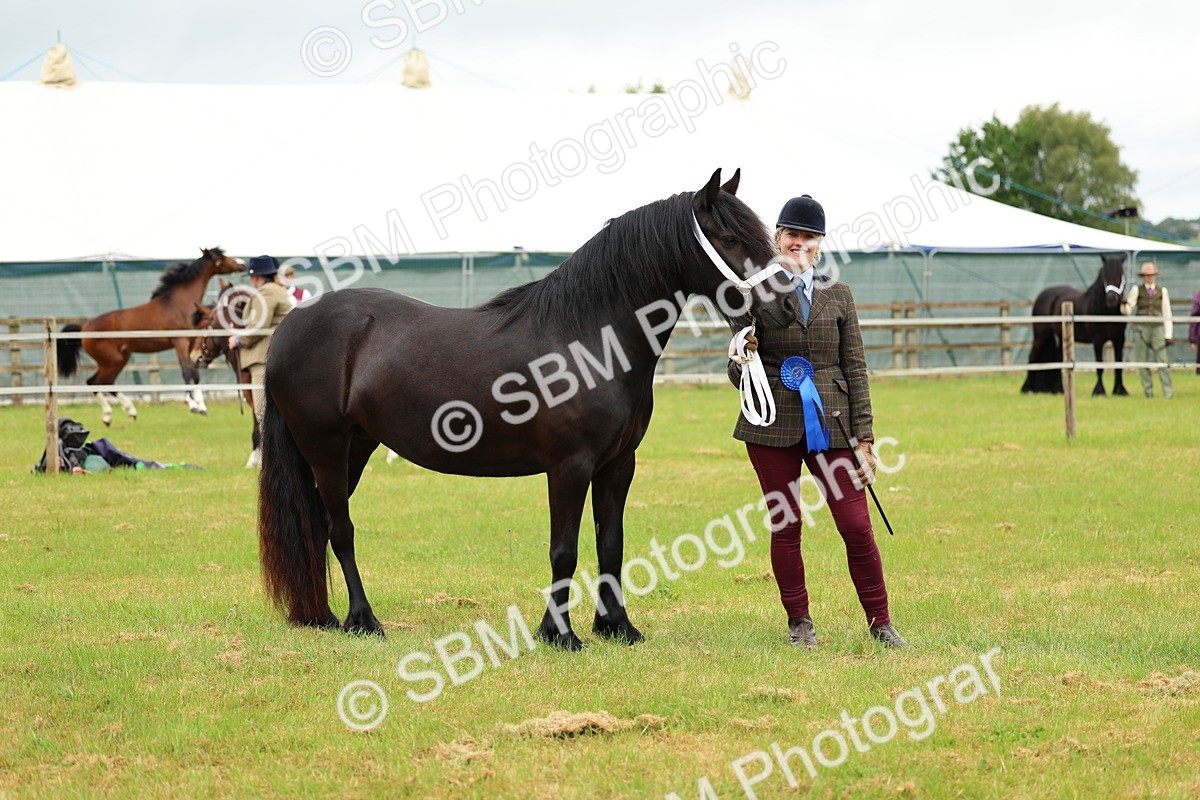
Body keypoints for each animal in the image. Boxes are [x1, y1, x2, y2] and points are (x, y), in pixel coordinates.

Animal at [57, 248, 245, 424]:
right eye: (220, 258)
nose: (242, 263)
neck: (179, 304)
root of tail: (85, 326)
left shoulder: (191, 344)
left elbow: (194, 373)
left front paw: (201, 406)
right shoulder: (181, 343)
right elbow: (187, 372)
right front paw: (193, 405)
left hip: (120, 359)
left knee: (104, 383)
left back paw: (126, 412)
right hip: (111, 361)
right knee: (95, 382)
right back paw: (112, 414)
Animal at [257, 168, 793, 647]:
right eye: (729, 236)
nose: (787, 306)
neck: (588, 338)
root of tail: (290, 328)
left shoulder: (618, 465)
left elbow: (610, 544)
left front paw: (617, 627)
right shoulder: (569, 466)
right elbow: (564, 550)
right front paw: (560, 634)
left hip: (357, 448)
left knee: (319, 526)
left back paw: (324, 617)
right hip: (325, 449)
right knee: (340, 529)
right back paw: (364, 620)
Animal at [1021, 254, 1129, 396]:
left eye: (1122, 276)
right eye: (1105, 276)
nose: (1112, 300)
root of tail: (1042, 295)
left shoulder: (1119, 339)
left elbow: (1119, 365)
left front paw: (1120, 390)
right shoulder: (1098, 340)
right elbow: (1099, 365)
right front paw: (1099, 391)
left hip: (1061, 335)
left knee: (1059, 359)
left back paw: (1059, 390)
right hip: (1040, 335)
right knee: (1032, 357)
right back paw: (1028, 389)